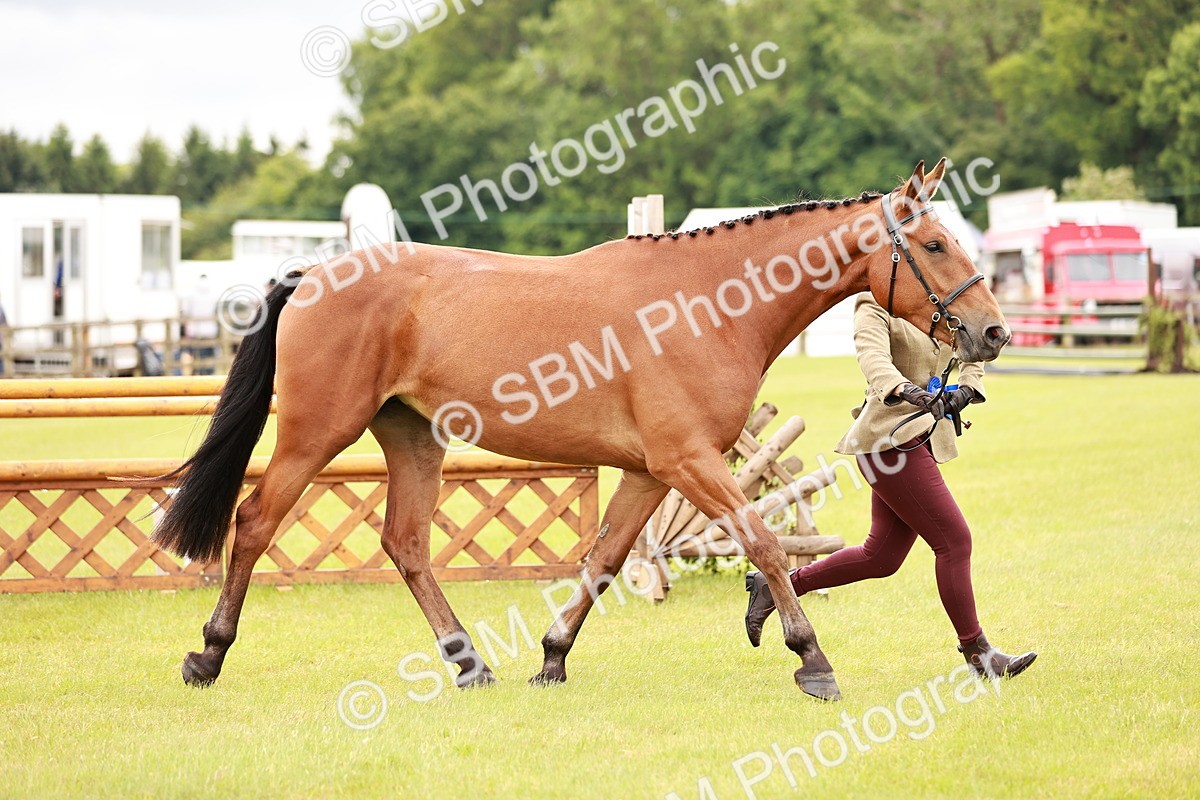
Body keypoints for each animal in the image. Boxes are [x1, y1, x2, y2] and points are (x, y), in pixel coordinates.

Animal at [150, 159, 1010, 701]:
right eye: (934, 243)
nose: (993, 332)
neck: (705, 305)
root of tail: (311, 276)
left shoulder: (651, 471)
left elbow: (604, 561)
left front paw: (553, 659)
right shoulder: (690, 462)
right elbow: (765, 544)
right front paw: (812, 660)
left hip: (414, 438)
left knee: (406, 544)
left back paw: (468, 663)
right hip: (315, 432)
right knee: (255, 522)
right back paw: (208, 653)